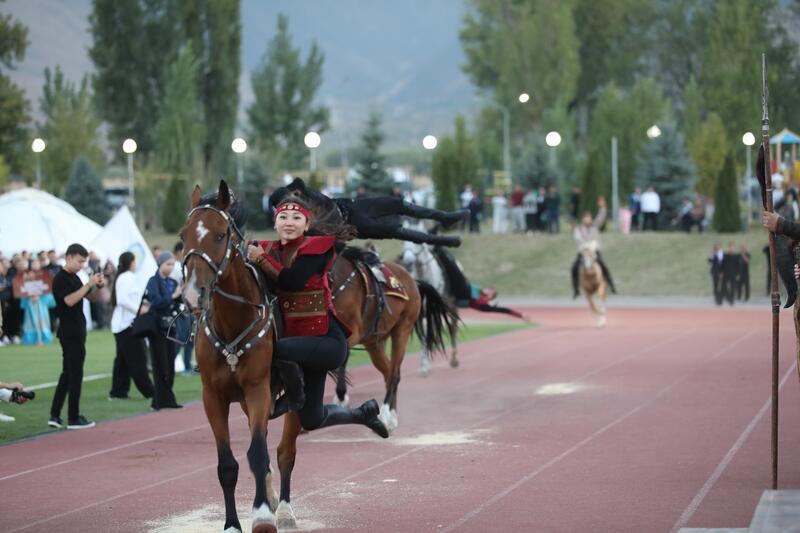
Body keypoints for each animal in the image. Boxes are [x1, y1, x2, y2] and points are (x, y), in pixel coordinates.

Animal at [182, 181, 289, 533]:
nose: (192, 294)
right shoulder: (212, 397)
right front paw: (232, 523)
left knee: (285, 451)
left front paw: (262, 515)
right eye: (183, 236)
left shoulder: (258, 389)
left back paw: (283, 508)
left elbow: (257, 454)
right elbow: (227, 464)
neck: (232, 323)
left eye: (219, 235)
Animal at [328, 246, 459, 433]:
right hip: (375, 342)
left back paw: (386, 417)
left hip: (401, 331)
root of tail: (412, 280)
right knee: (388, 371)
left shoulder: (351, 331)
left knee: (394, 374)